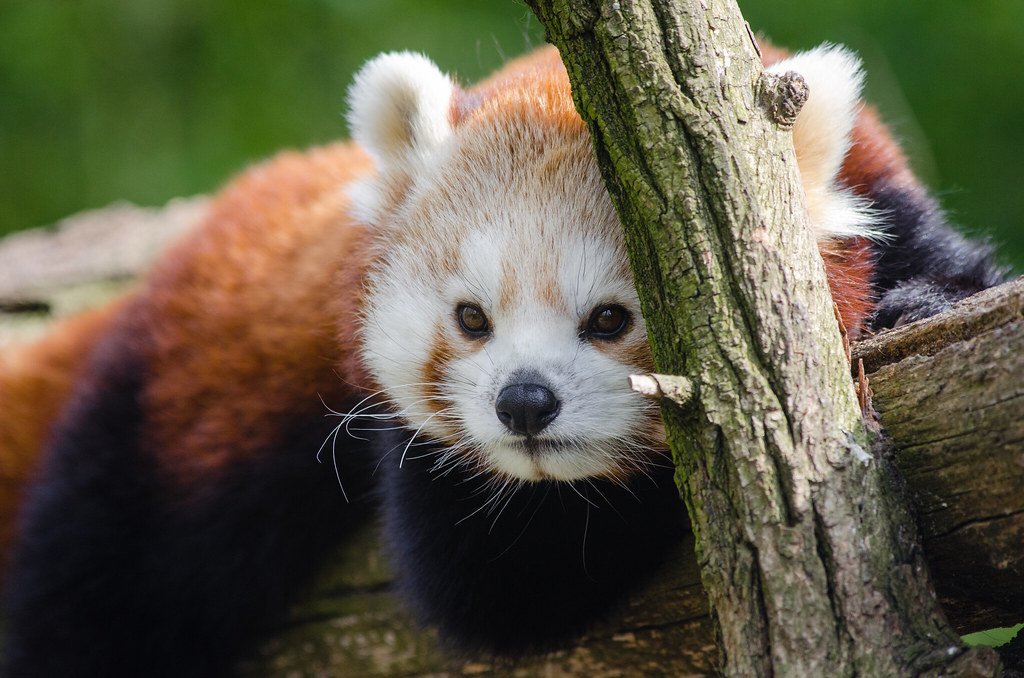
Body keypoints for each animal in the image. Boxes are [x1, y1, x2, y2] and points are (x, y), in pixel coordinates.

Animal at [0, 41, 1004, 676]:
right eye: (472, 318)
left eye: (612, 318)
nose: (525, 403)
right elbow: (494, 582)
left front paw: (915, 305)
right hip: (165, 438)